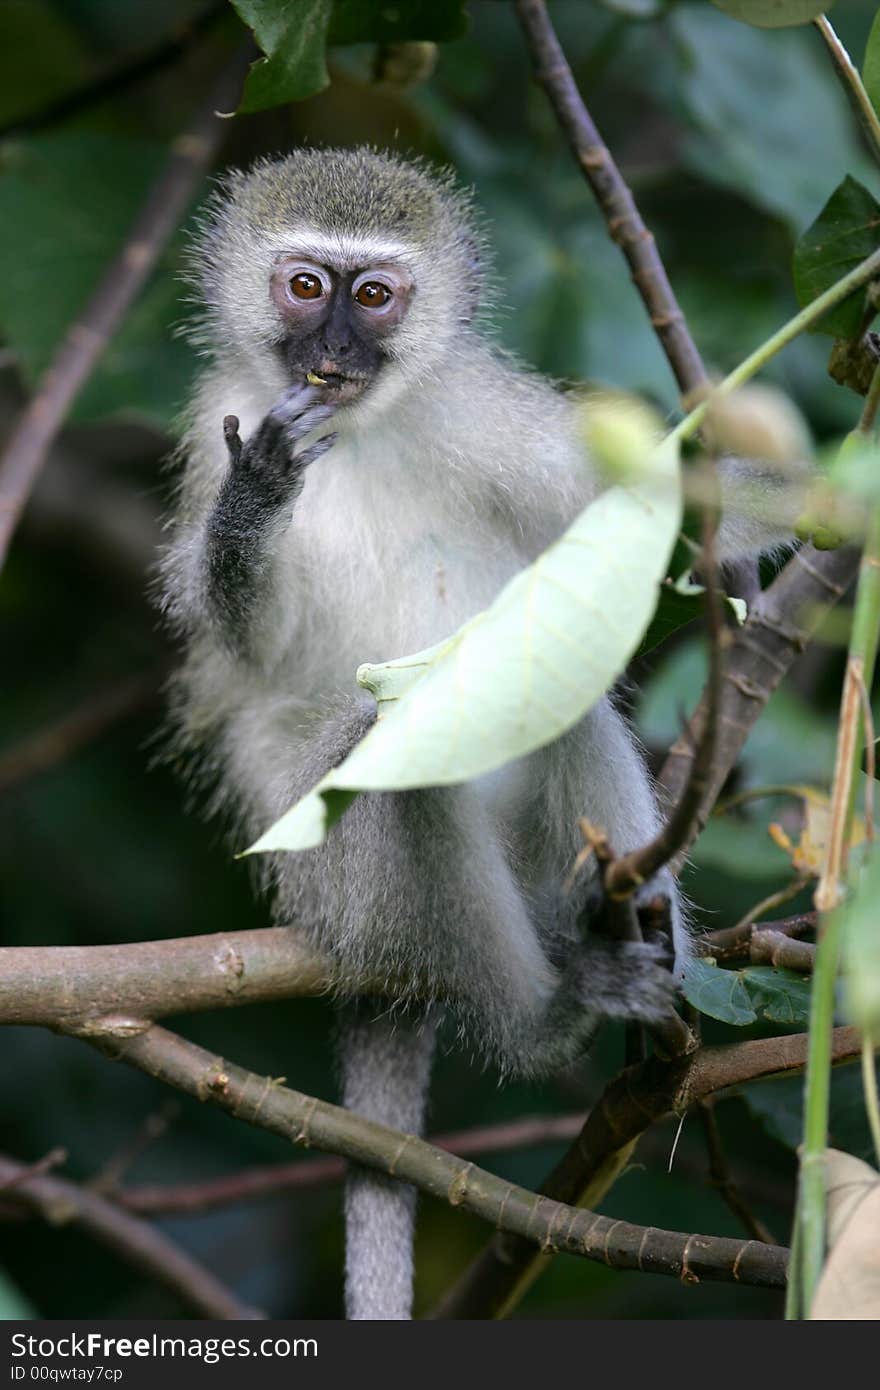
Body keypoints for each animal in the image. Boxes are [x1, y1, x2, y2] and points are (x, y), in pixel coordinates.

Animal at [161, 146, 800, 1317]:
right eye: (305, 286)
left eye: (374, 295)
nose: (331, 352)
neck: (363, 432)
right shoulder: (209, 421)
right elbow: (241, 637)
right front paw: (256, 496)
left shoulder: (491, 414)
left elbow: (679, 502)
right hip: (339, 886)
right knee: (392, 756)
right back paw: (554, 1009)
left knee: (550, 693)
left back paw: (642, 952)